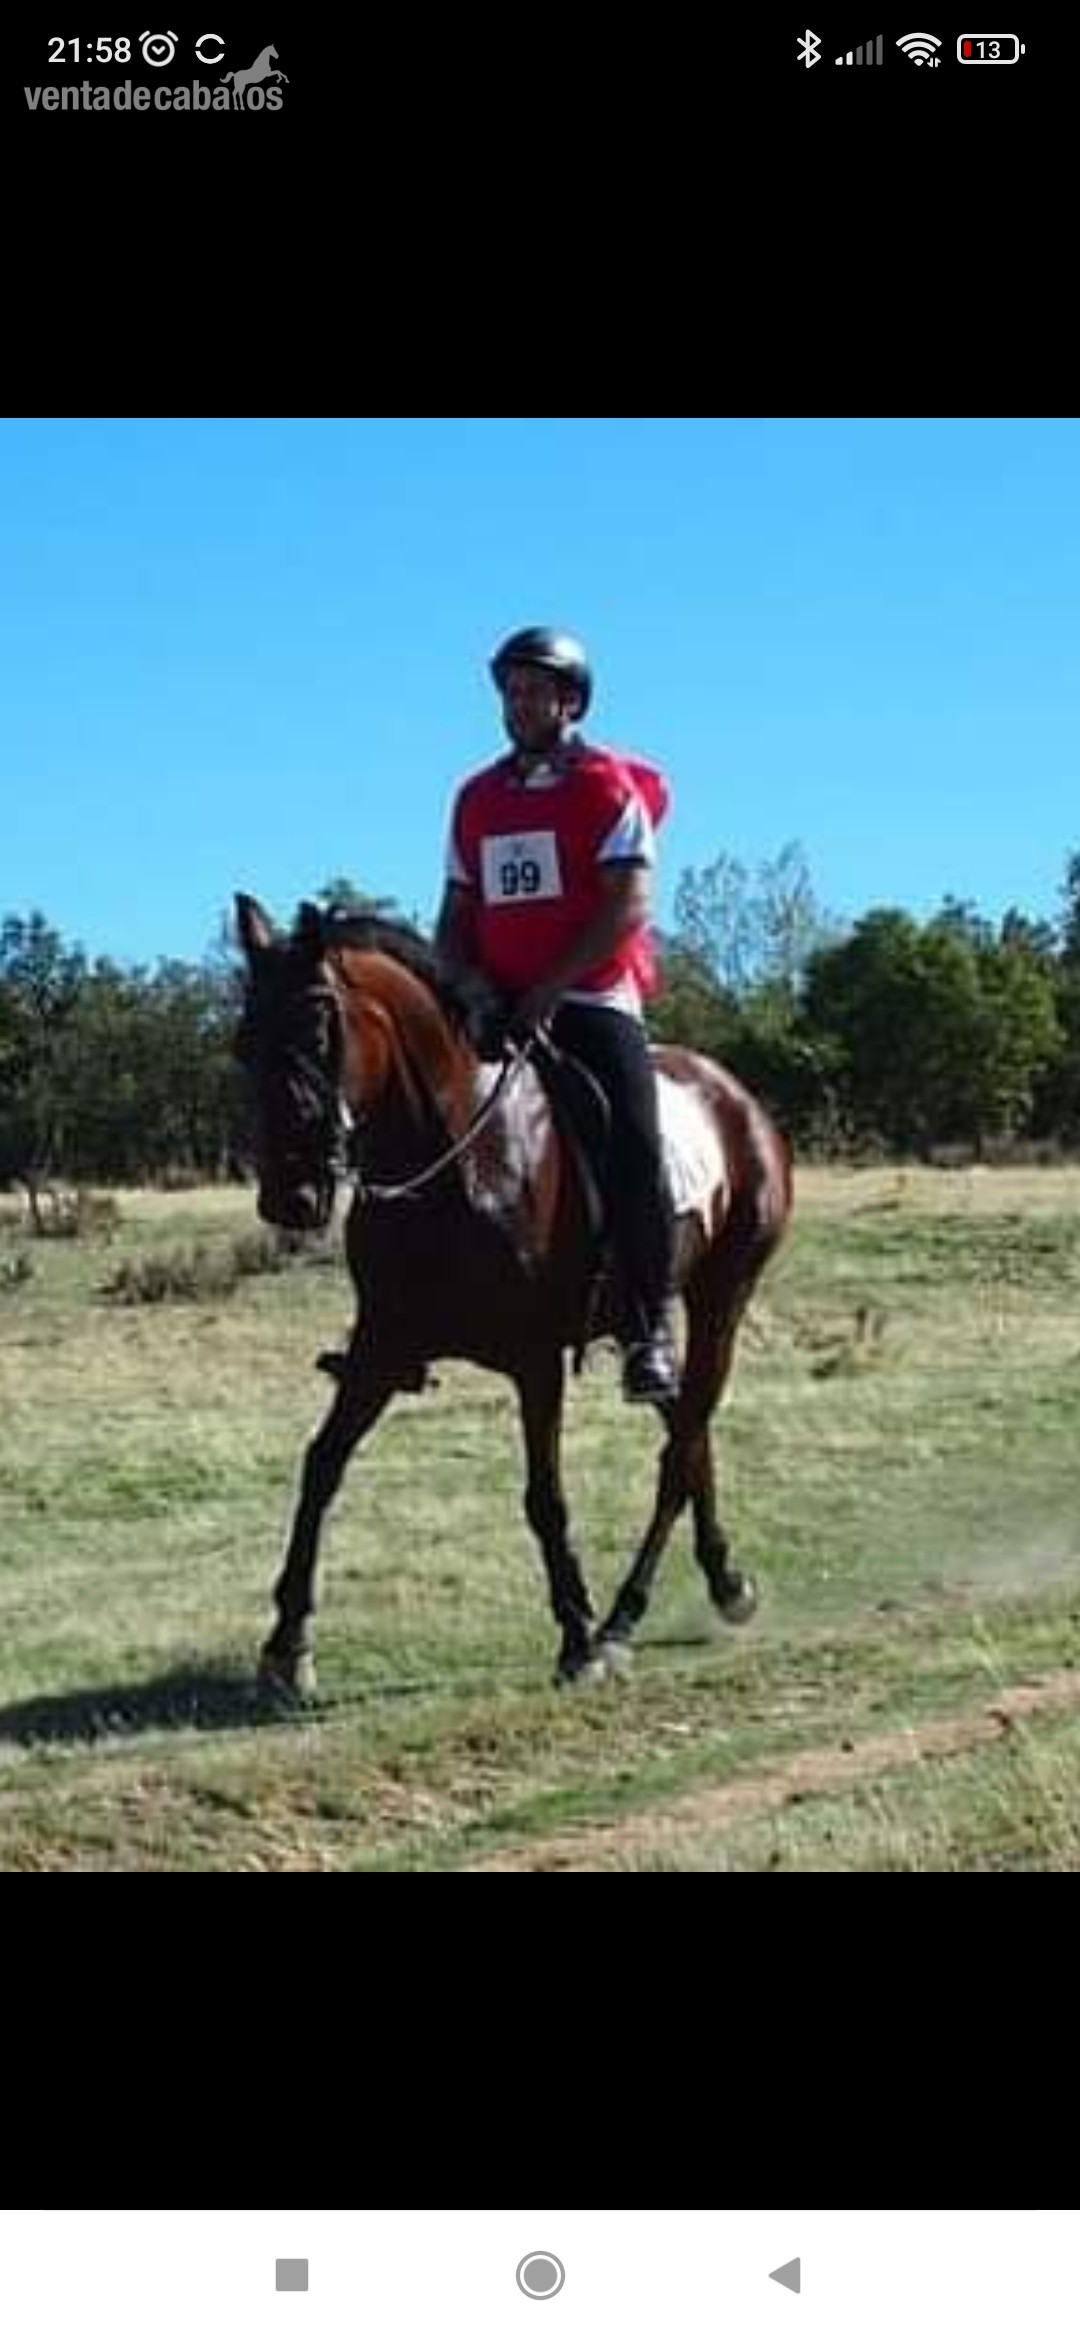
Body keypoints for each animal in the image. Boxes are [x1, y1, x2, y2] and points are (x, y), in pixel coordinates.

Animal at [234, 893, 793, 1692]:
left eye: (317, 1028)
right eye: (245, 1039)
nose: (291, 1196)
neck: (460, 1159)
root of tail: (740, 1101)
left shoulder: (535, 1360)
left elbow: (544, 1496)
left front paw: (577, 1637)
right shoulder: (380, 1348)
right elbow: (321, 1465)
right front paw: (287, 1643)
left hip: (723, 1301)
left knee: (680, 1447)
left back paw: (622, 1618)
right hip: (640, 1324)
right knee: (688, 1434)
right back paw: (724, 1579)